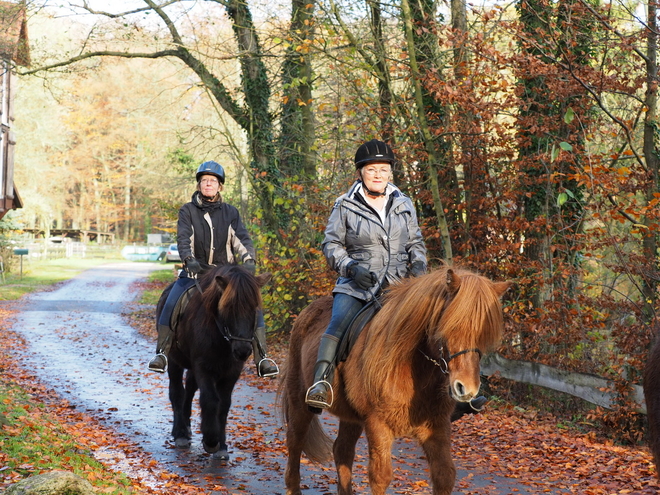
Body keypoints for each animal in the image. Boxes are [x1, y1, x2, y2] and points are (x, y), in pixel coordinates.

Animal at [157, 266, 270, 460]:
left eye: (254, 307)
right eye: (228, 307)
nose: (242, 350)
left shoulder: (232, 371)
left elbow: (224, 404)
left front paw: (222, 446)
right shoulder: (203, 368)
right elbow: (210, 400)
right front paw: (210, 440)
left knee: (189, 390)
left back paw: (187, 427)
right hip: (173, 360)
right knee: (177, 392)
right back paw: (180, 433)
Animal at [282, 268, 508, 495]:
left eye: (485, 334)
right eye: (452, 327)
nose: (467, 389)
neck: (412, 368)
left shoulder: (436, 426)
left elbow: (444, 475)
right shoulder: (378, 424)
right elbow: (380, 477)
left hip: (352, 417)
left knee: (342, 451)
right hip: (300, 400)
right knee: (295, 441)